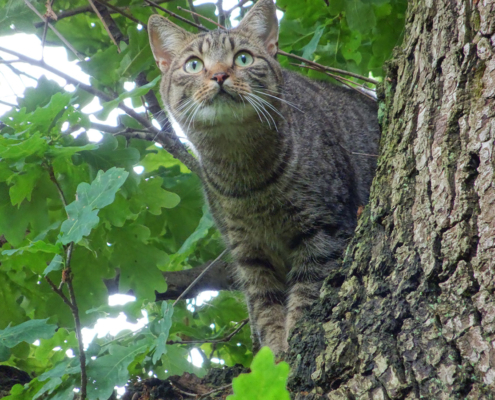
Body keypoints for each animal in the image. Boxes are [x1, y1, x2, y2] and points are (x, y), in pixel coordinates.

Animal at [147, 0, 380, 356]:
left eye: (243, 58)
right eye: (193, 65)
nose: (219, 74)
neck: (247, 176)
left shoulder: (323, 230)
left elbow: (307, 293)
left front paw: (294, 339)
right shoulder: (250, 252)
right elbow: (266, 306)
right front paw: (272, 351)